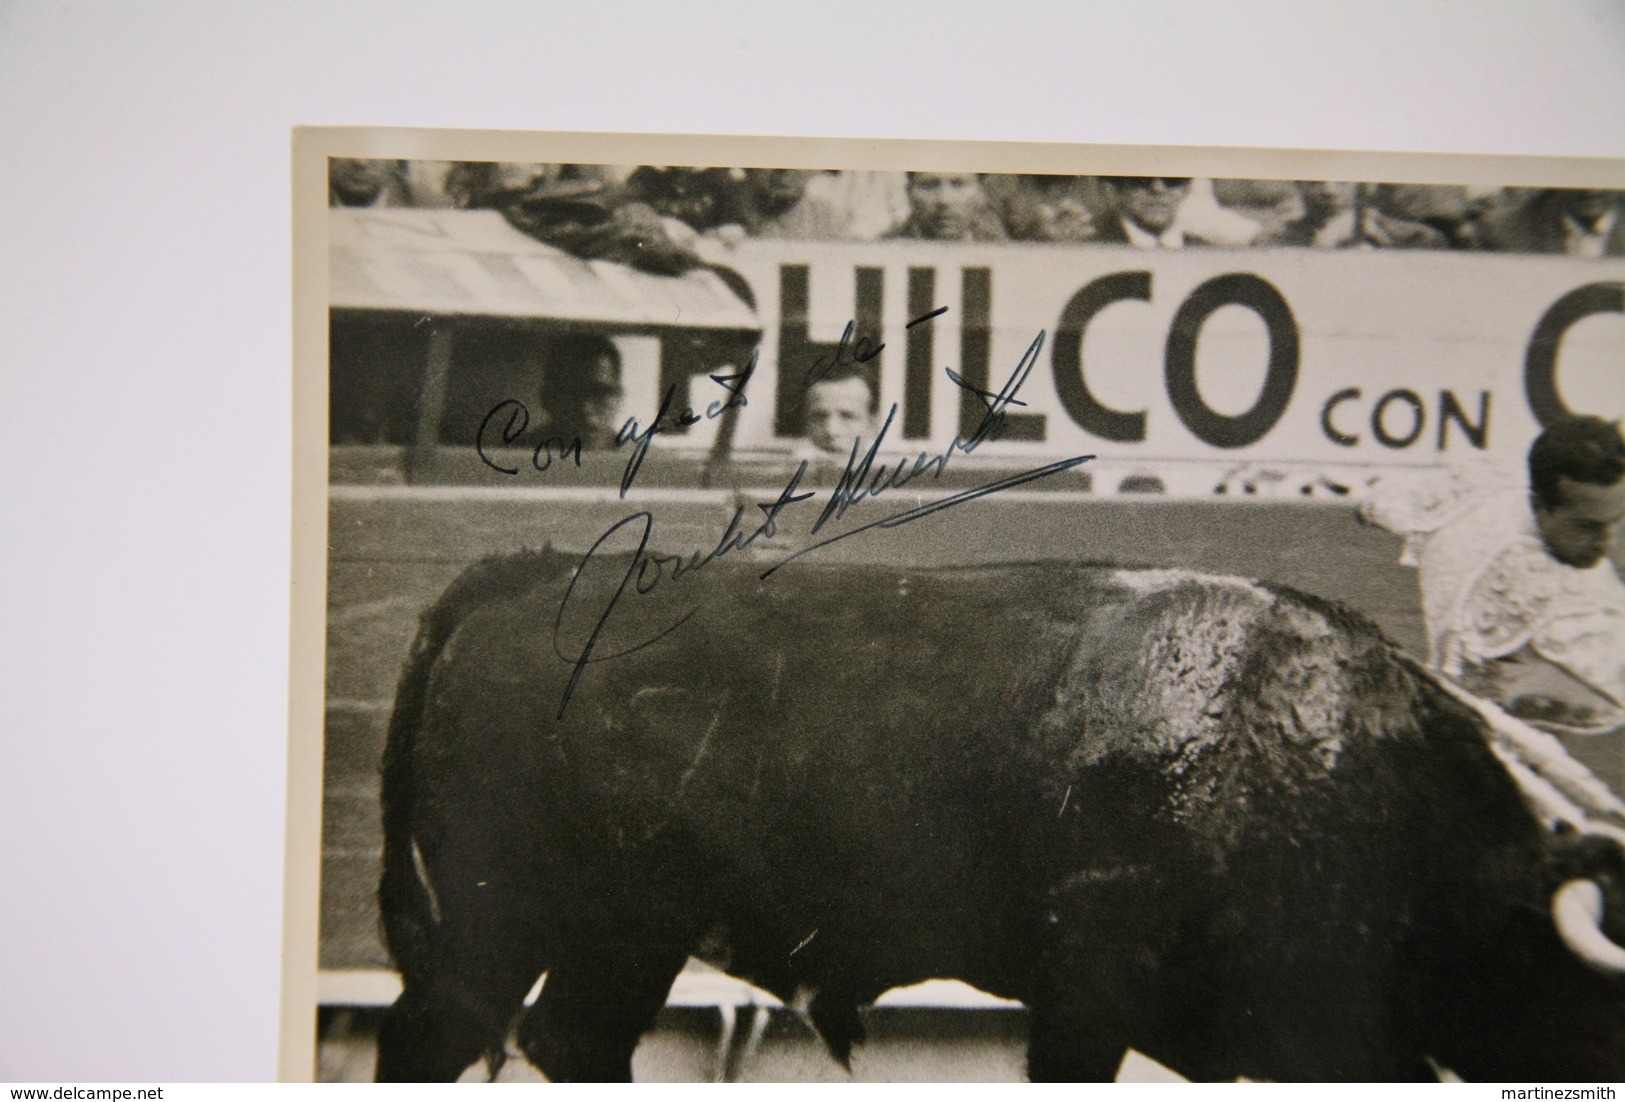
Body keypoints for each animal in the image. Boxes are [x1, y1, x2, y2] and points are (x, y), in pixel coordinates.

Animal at [373, 549, 1625, 1085]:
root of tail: (522, 577)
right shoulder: (1103, 1001)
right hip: (504, 923)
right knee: (440, 1035)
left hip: (625, 935)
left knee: (569, 1040)